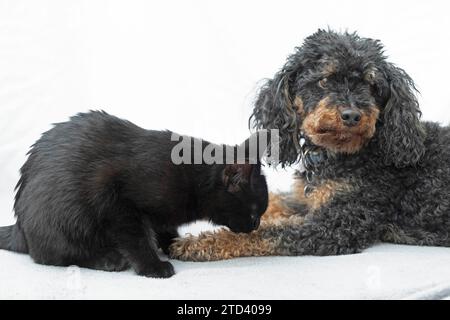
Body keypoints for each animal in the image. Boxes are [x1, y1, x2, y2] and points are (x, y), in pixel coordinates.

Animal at [0, 111, 268, 276]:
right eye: (254, 212)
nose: (255, 226)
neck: (191, 177)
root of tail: (19, 228)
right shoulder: (118, 203)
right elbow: (136, 238)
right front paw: (154, 266)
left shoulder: (160, 215)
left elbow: (164, 228)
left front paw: (176, 245)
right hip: (63, 216)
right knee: (54, 254)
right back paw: (109, 260)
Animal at [170, 28, 450, 262]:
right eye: (324, 80)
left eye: (371, 86)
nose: (351, 115)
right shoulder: (305, 200)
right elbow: (274, 202)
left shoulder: (336, 224)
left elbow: (264, 234)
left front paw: (196, 244)